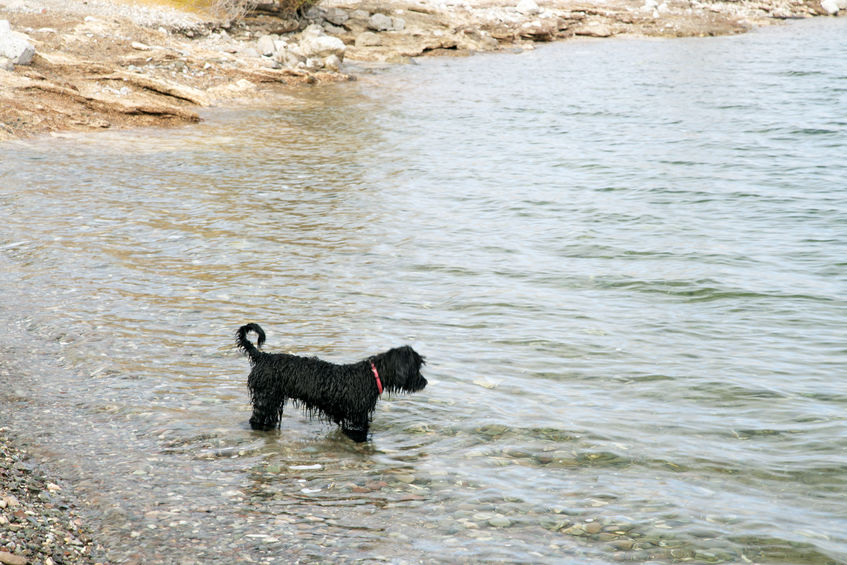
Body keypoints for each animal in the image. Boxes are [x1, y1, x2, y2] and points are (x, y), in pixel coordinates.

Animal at [235, 324, 428, 442]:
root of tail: (262, 357)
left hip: (272, 402)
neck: (371, 376)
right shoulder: (356, 420)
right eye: (416, 367)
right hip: (265, 399)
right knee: (256, 420)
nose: (425, 382)